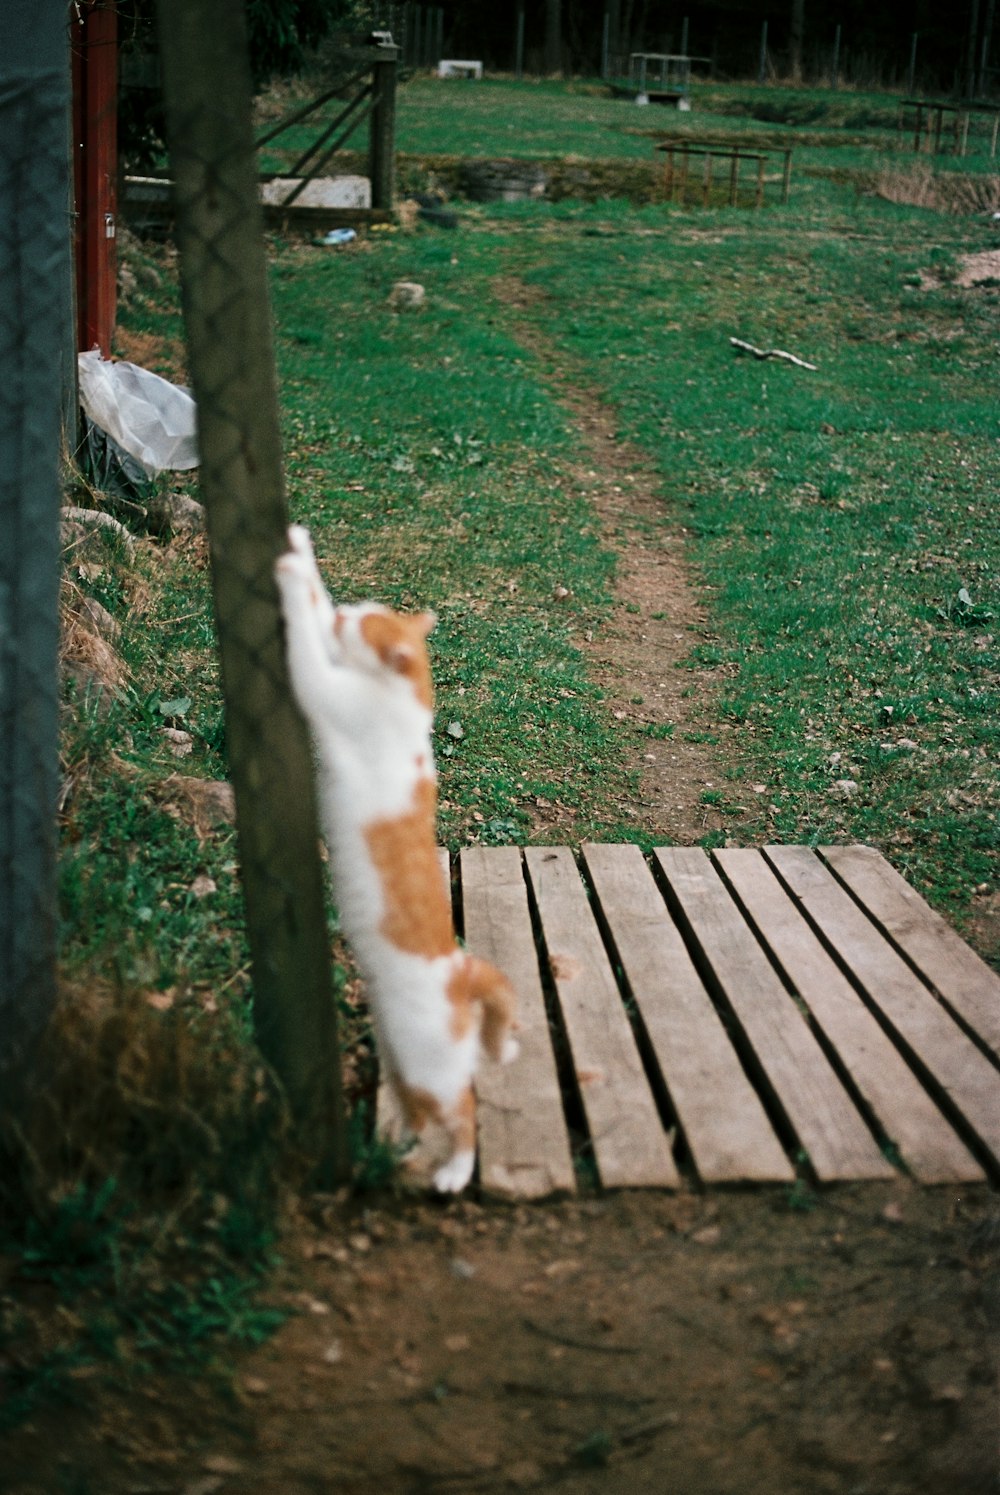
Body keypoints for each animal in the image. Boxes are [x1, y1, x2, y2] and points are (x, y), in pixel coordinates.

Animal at [276, 526, 520, 1190]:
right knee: (418, 1108)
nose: (342, 617)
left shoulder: (326, 689)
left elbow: (304, 645)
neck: (412, 705)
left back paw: (454, 1171)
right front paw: (303, 555)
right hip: (396, 1056)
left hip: (426, 1063)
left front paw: (292, 580)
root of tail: (464, 969)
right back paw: (397, 1146)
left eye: (359, 627)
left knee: (463, 1112)